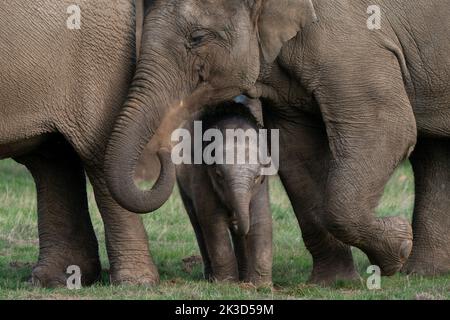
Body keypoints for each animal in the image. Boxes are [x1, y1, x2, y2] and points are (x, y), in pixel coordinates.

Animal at [0, 0, 175, 284]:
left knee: (96, 154)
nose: (164, 151)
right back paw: (57, 279)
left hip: (95, 59)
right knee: (52, 159)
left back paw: (135, 282)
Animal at [178, 100, 272, 284]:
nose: (234, 219)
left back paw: (243, 277)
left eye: (257, 177)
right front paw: (226, 284)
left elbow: (261, 216)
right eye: (219, 175)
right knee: (197, 223)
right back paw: (211, 277)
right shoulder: (200, 172)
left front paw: (260, 285)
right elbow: (212, 217)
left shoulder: (262, 185)